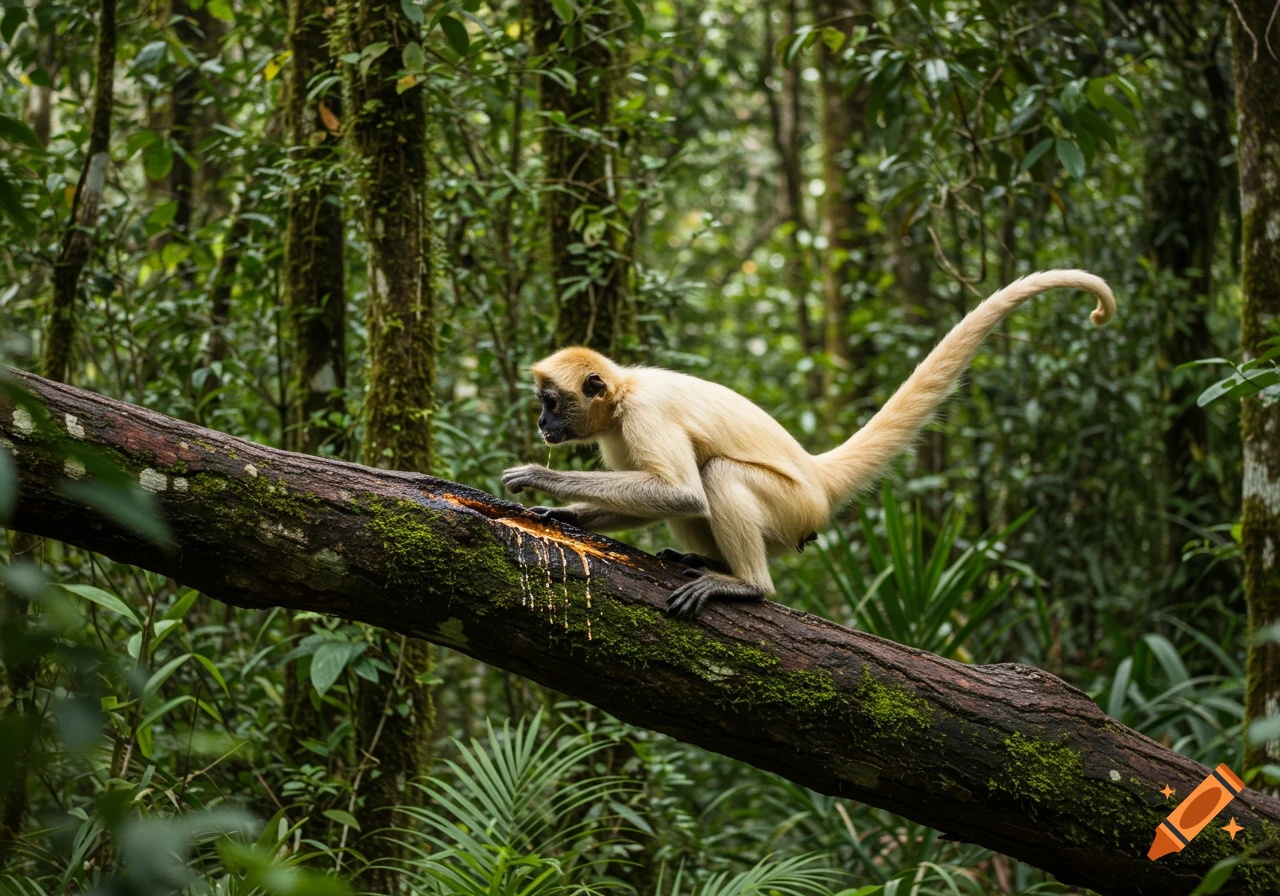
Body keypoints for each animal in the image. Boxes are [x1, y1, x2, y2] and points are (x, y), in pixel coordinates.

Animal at [503, 269, 1116, 619]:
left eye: (550, 401)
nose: (541, 423)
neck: (627, 390)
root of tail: (815, 472)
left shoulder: (644, 415)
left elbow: (683, 493)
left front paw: (541, 478)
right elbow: (667, 497)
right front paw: (561, 514)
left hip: (793, 506)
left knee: (716, 474)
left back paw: (748, 588)